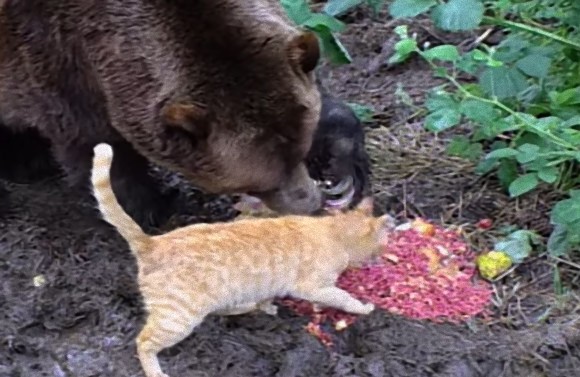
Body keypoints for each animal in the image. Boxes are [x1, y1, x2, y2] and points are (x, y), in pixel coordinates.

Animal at [0, 0, 326, 228]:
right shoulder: (59, 60)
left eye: (302, 151)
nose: (309, 204)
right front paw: (149, 207)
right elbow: (96, 144)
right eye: (258, 183)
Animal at [90, 142, 396, 376]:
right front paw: (363, 308)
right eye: (382, 245)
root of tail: (151, 242)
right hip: (178, 317)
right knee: (143, 341)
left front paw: (270, 307)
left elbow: (272, 297)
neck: (334, 231)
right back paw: (155, 371)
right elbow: (344, 298)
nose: (381, 259)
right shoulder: (314, 287)